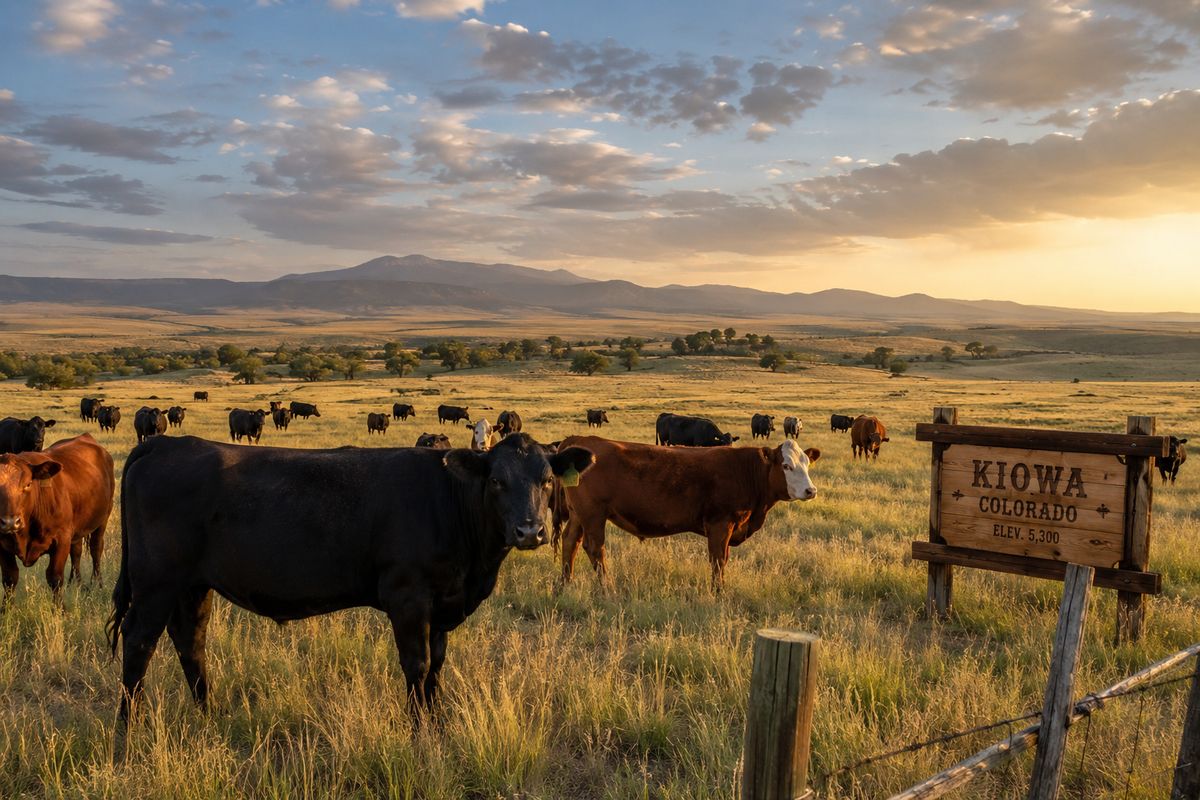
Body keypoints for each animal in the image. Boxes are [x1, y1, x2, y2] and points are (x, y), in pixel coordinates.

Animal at [0, 434, 114, 602]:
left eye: (28, 484)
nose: (10, 523)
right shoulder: (3, 544)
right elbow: (10, 579)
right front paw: (6, 608)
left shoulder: (61, 540)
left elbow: (55, 578)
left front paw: (59, 607)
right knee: (76, 552)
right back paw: (75, 583)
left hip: (103, 518)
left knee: (96, 549)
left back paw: (97, 584)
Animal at [106, 433, 595, 760]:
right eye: (495, 481)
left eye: (547, 479)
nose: (530, 531)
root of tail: (167, 442)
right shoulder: (408, 596)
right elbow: (417, 665)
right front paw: (418, 732)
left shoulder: (441, 603)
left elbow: (437, 665)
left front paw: (437, 725)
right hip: (156, 584)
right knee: (139, 642)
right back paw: (126, 731)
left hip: (192, 585)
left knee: (191, 641)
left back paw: (210, 717)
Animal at [552, 436, 819, 590]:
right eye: (786, 466)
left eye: (807, 463)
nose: (811, 490)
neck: (745, 471)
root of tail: (579, 440)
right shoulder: (721, 524)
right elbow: (718, 560)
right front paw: (718, 592)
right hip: (593, 514)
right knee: (595, 548)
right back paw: (607, 589)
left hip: (579, 514)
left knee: (570, 542)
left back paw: (566, 583)